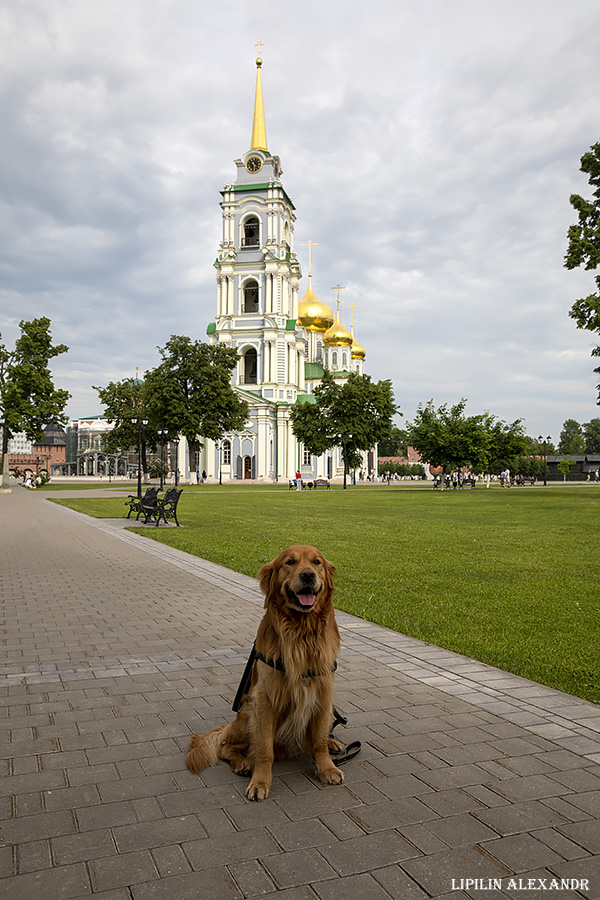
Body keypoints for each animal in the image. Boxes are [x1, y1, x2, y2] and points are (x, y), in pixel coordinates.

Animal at [190, 540, 344, 800]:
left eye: (316, 562)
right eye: (290, 562)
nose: (308, 575)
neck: (301, 632)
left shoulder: (324, 694)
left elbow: (319, 741)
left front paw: (327, 768)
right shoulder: (264, 699)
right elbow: (263, 749)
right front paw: (260, 782)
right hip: (246, 713)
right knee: (224, 746)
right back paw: (242, 763)